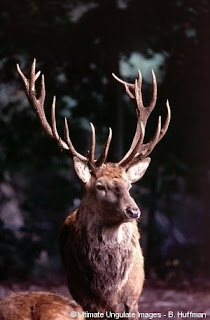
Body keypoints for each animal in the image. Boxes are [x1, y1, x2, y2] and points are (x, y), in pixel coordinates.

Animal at [16, 59, 171, 316]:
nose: (133, 211)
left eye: (129, 185)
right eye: (100, 186)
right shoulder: (84, 298)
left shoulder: (132, 301)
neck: (108, 289)